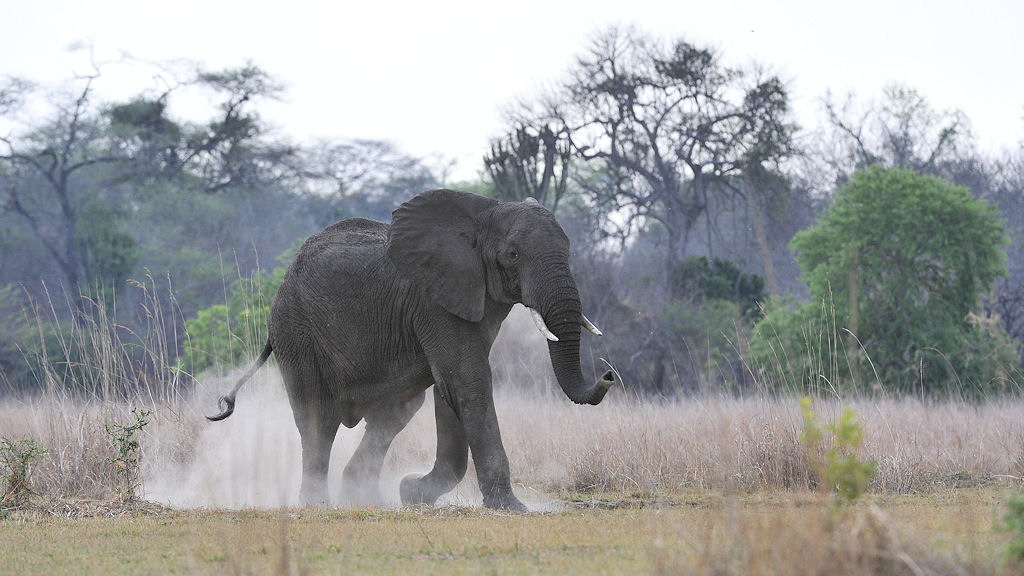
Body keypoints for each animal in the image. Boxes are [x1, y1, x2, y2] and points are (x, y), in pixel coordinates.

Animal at [207, 189, 614, 511]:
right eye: (512, 255)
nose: (608, 374)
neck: (483, 215)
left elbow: (452, 389)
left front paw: (412, 494)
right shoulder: (433, 301)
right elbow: (467, 382)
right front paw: (511, 508)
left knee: (395, 413)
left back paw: (368, 500)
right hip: (295, 330)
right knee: (317, 417)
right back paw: (317, 504)